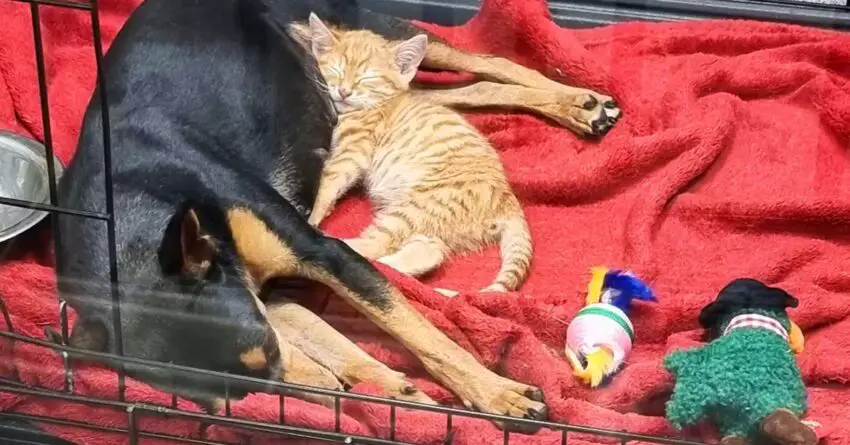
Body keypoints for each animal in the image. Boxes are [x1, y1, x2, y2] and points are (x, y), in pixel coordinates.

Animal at [294, 13, 528, 296]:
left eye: (368, 78)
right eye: (337, 70)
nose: (344, 92)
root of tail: (509, 201)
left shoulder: (353, 152)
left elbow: (328, 184)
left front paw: (313, 216)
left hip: (418, 207)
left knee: (377, 243)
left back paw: (335, 243)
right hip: (432, 223)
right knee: (430, 251)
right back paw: (392, 269)